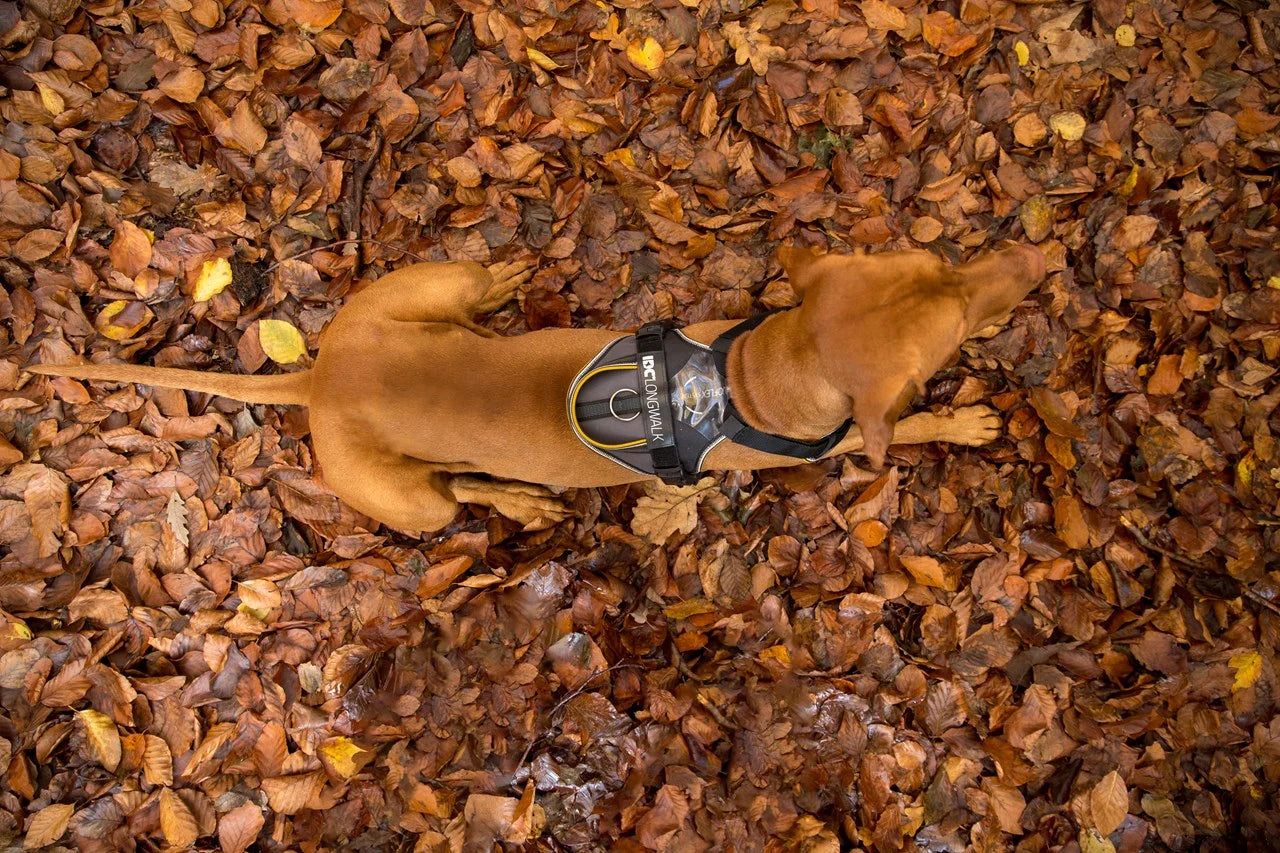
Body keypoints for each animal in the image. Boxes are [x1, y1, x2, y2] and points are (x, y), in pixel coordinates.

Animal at [30, 240, 1044, 532]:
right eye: (952, 328)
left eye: (945, 266)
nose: (1035, 260)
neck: (741, 376)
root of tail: (323, 377)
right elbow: (906, 431)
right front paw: (964, 423)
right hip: (412, 502)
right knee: (458, 491)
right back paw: (519, 501)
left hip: (436, 284)